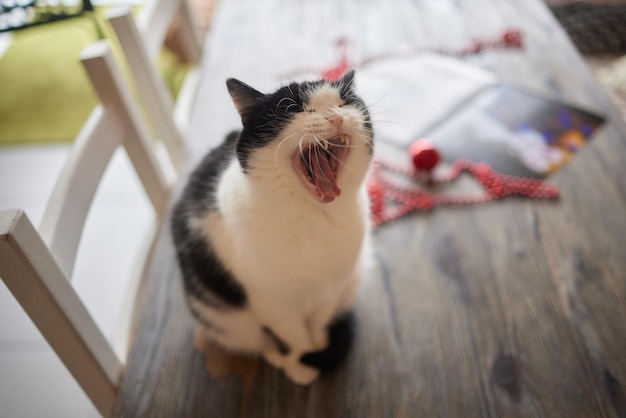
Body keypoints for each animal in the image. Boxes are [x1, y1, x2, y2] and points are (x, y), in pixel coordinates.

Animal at [171, 70, 370, 384]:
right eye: (296, 109)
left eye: (344, 103)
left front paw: (318, 346)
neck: (315, 216)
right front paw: (302, 366)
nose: (336, 116)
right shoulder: (273, 305)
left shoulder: (333, 288)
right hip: (224, 318)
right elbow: (296, 336)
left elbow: (317, 325)